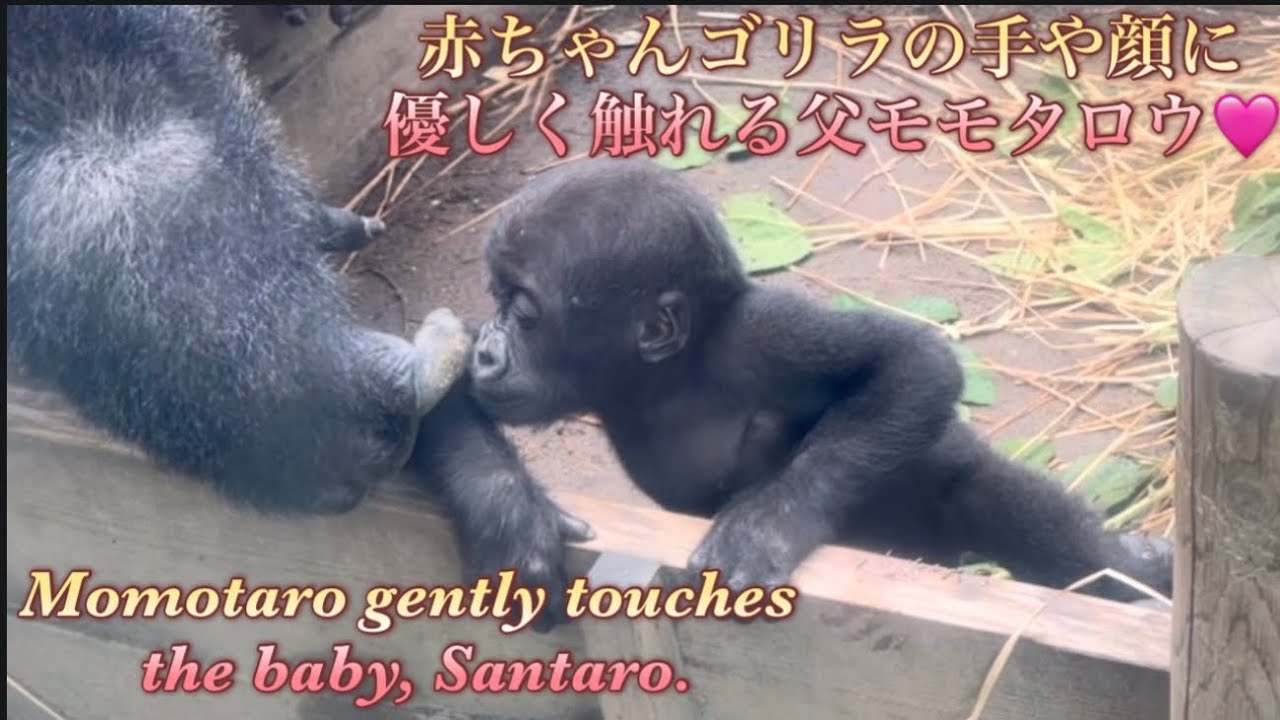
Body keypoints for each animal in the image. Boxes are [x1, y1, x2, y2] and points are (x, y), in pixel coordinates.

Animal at [464, 158, 1174, 603]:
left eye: (523, 313)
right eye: (496, 299)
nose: (487, 353)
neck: (667, 375)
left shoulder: (762, 336)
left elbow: (913, 362)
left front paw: (771, 522)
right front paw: (507, 511)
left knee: (1002, 502)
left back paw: (1132, 573)